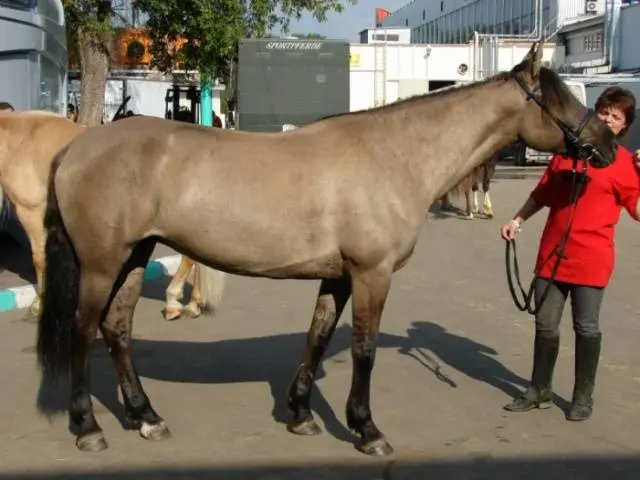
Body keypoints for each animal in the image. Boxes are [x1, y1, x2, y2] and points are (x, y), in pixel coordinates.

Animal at [0, 110, 225, 316]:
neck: (21, 140)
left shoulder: (32, 213)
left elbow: (40, 259)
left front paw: (39, 305)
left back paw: (173, 301)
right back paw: (193, 303)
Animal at [35, 45, 616, 458]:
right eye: (561, 99)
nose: (610, 145)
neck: (395, 154)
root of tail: (76, 148)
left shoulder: (338, 275)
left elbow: (317, 336)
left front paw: (301, 414)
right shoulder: (372, 274)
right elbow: (364, 348)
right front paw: (366, 428)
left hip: (135, 256)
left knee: (117, 329)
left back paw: (146, 417)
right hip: (102, 262)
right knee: (84, 331)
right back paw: (88, 426)